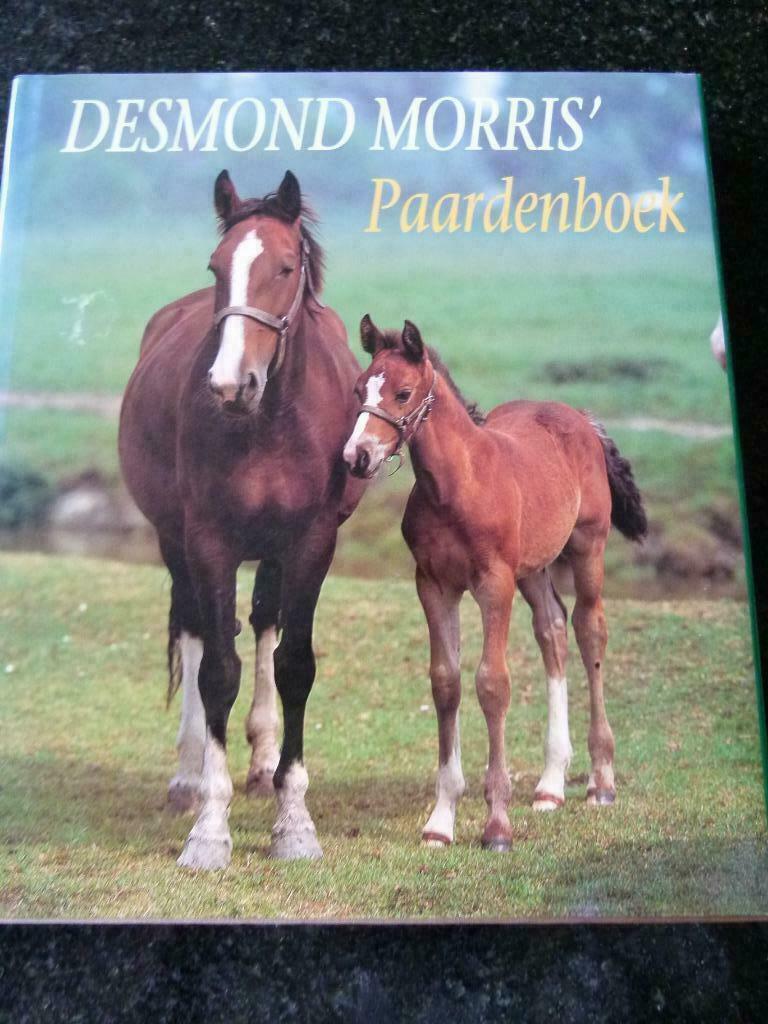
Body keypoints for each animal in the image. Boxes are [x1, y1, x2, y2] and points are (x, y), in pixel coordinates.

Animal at [119, 170, 366, 869]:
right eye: (216, 266)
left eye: (284, 267)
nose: (232, 384)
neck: (269, 424)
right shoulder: (210, 543)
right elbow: (216, 672)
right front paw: (210, 827)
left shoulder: (310, 543)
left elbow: (294, 666)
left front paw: (294, 820)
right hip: (175, 543)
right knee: (198, 632)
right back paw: (189, 774)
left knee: (260, 626)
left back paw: (261, 763)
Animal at [343, 315, 647, 851]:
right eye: (360, 388)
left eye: (403, 393)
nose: (356, 456)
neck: (457, 487)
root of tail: (580, 418)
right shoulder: (433, 584)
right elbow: (446, 682)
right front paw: (440, 821)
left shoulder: (493, 584)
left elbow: (492, 684)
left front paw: (497, 824)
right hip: (534, 568)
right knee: (552, 630)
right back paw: (549, 786)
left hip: (587, 549)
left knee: (590, 631)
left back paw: (601, 782)